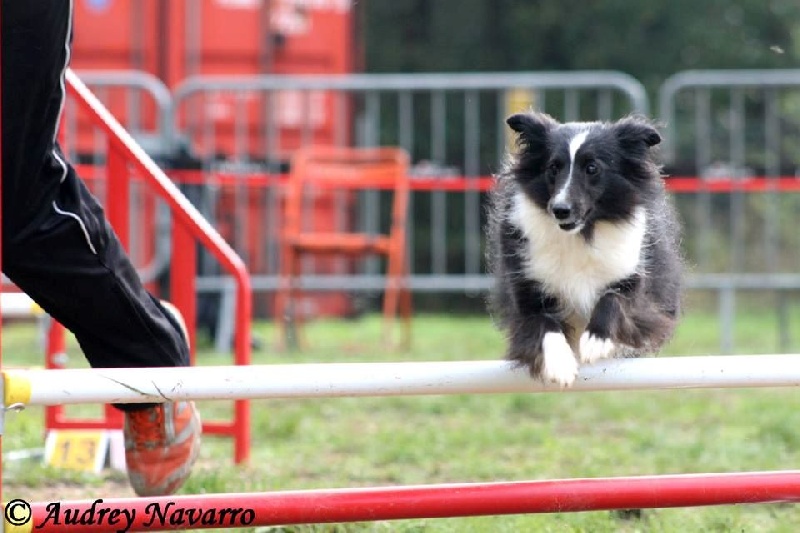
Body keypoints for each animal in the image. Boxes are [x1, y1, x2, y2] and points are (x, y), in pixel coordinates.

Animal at [488, 112, 680, 386]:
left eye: (592, 168)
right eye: (553, 167)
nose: (560, 209)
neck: (579, 235)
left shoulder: (635, 281)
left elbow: (614, 298)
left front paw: (596, 341)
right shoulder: (526, 282)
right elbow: (542, 320)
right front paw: (560, 365)